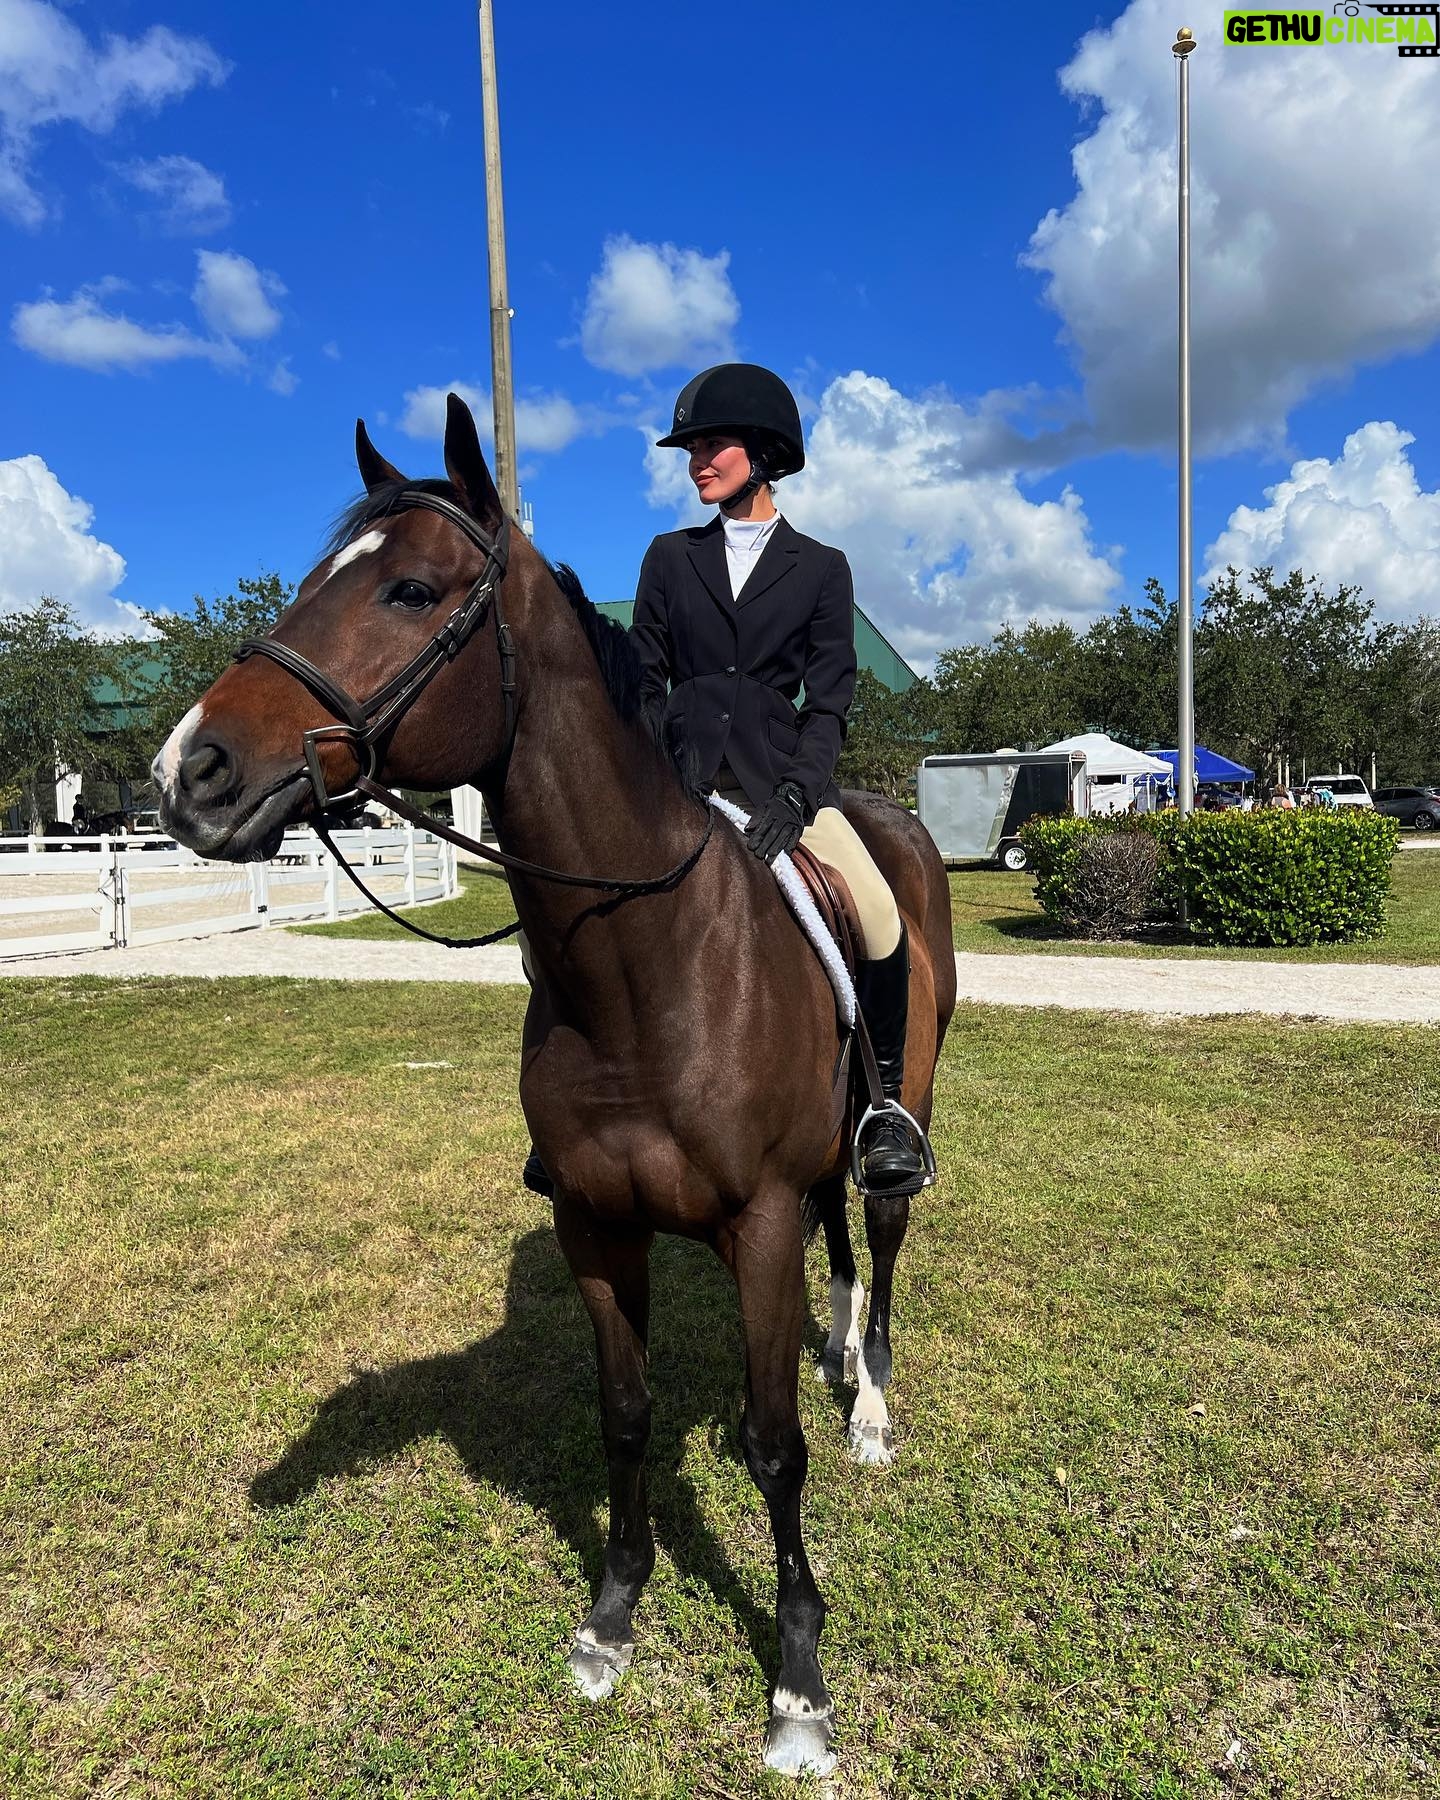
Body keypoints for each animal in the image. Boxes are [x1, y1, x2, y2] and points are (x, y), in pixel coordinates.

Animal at [150, 395, 956, 1778]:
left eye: (412, 590)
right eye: (309, 582)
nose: (187, 771)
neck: (645, 969)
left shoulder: (753, 1229)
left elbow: (771, 1448)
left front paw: (798, 1680)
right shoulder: (596, 1222)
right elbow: (624, 1415)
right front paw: (613, 1620)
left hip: (897, 1117)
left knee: (884, 1231)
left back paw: (872, 1403)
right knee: (842, 1237)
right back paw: (841, 1354)